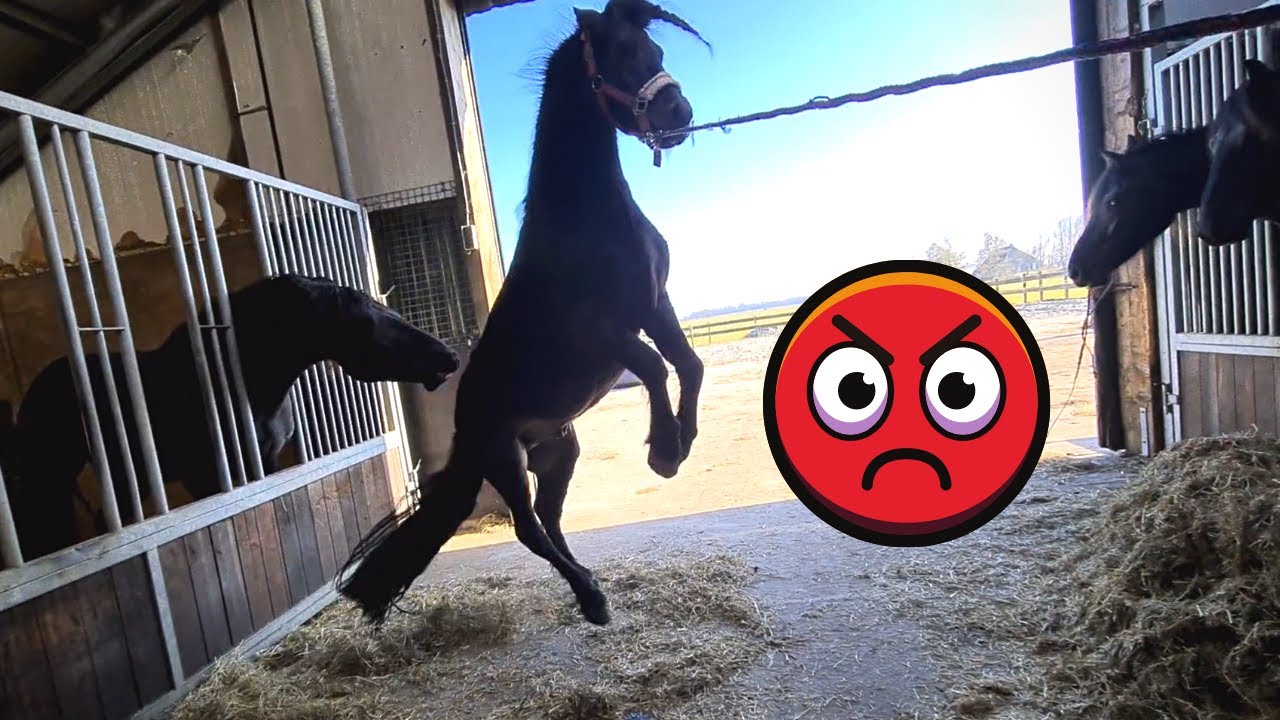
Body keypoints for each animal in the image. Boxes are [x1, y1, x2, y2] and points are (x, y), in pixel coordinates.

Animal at [337, 0, 706, 627]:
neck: (586, 217)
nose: (679, 114)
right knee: (529, 529)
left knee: (551, 523)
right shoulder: (604, 330)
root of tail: (463, 437)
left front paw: (681, 441)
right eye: (622, 53)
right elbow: (656, 367)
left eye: (656, 51)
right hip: (505, 459)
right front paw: (663, 452)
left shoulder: (655, 304)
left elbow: (689, 364)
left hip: (560, 452)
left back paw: (593, 591)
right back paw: (591, 598)